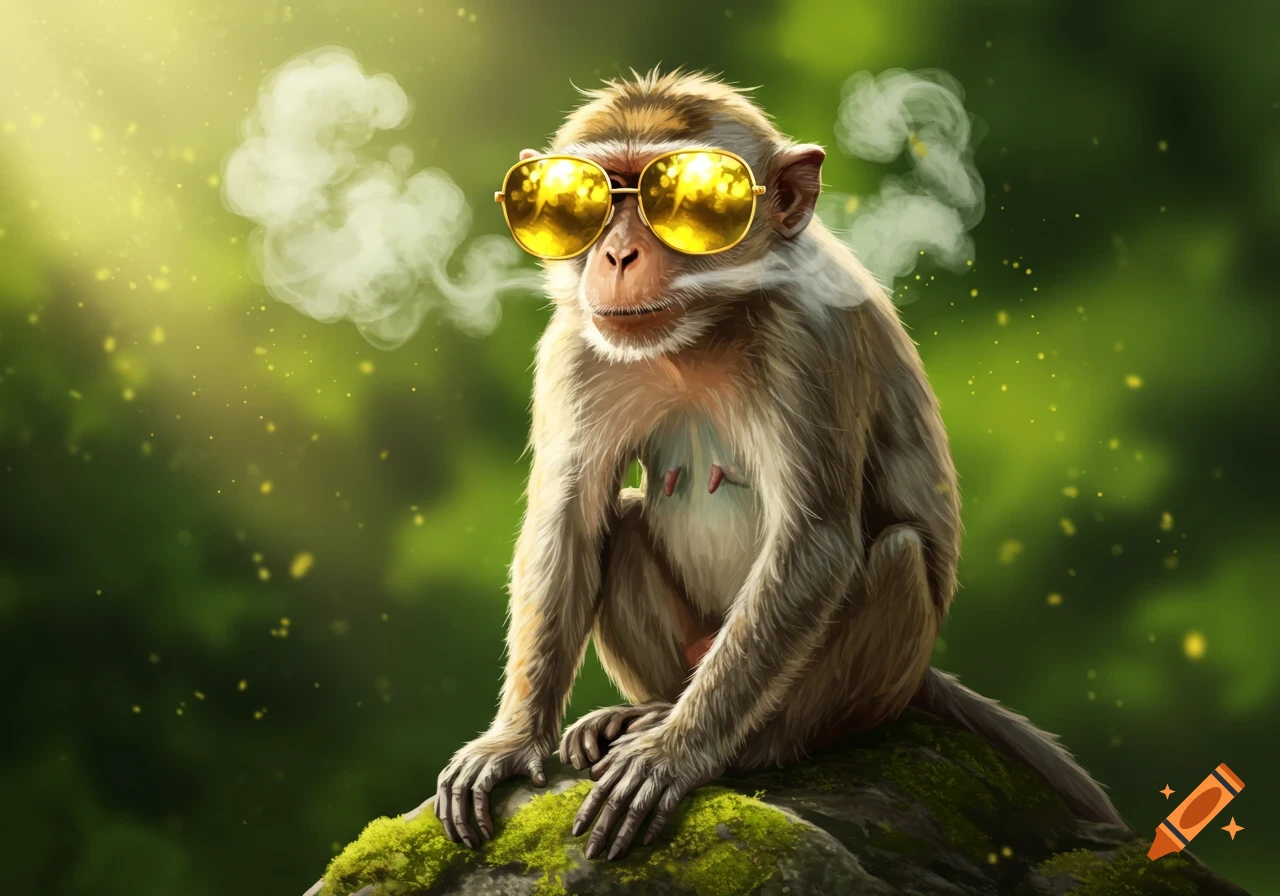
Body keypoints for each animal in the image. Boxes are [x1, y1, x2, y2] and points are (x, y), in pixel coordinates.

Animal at [434, 67, 1125, 863]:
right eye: (584, 198)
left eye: (689, 199)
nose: (616, 256)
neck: (698, 336)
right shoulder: (577, 347)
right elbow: (568, 520)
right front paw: (513, 742)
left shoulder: (810, 338)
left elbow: (816, 543)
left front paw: (675, 755)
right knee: (625, 518)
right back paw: (645, 709)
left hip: (861, 682)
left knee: (892, 552)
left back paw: (738, 740)